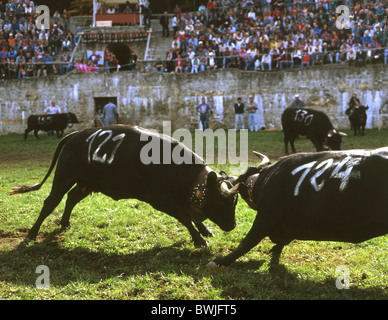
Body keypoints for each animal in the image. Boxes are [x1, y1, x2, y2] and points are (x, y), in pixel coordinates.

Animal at [9, 125, 239, 248]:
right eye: (222, 201)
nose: (232, 225)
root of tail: (75, 134)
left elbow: (191, 214)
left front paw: (205, 230)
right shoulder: (159, 199)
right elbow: (184, 216)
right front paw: (199, 239)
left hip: (86, 183)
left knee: (72, 197)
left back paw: (65, 223)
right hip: (64, 177)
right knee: (51, 202)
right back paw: (31, 234)